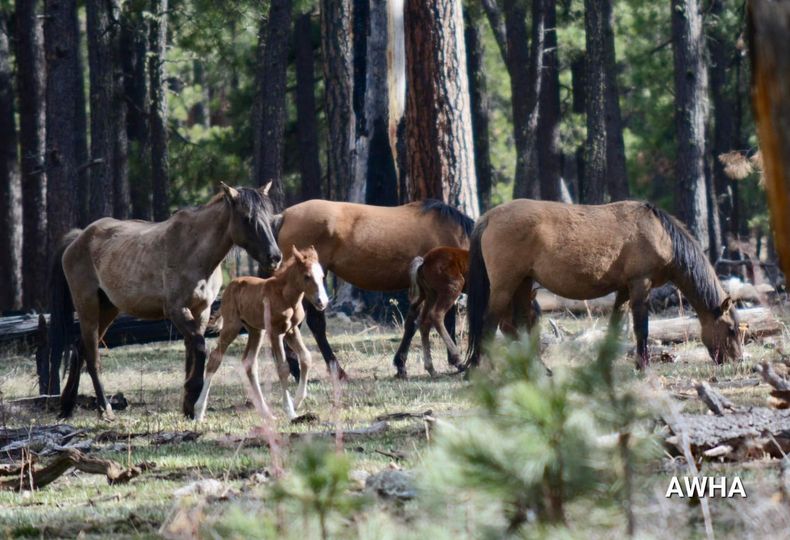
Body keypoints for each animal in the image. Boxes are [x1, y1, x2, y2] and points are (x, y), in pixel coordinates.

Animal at [49, 183, 283, 419]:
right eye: (247, 218)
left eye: (270, 216)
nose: (275, 257)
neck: (194, 251)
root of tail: (78, 238)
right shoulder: (176, 310)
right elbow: (200, 347)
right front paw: (194, 396)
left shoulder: (201, 311)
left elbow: (192, 352)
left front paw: (189, 406)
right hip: (87, 305)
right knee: (91, 356)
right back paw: (105, 408)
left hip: (107, 309)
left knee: (80, 348)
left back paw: (67, 407)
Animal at [194, 246, 329, 422]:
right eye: (307, 276)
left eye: (322, 276)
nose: (322, 302)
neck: (285, 297)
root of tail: (231, 284)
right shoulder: (275, 332)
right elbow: (283, 368)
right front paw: (290, 411)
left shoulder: (291, 331)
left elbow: (306, 357)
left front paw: (297, 401)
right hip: (232, 327)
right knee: (215, 358)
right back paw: (198, 411)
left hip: (256, 330)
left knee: (249, 362)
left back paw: (266, 412)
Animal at [274, 199, 474, 378]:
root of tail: (285, 216)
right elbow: (442, 320)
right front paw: (454, 360)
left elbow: (412, 323)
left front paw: (401, 365)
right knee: (311, 324)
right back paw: (325, 371)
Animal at [466, 200, 744, 369]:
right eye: (731, 329)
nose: (737, 360)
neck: (660, 235)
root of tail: (489, 217)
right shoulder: (640, 285)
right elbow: (641, 329)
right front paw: (643, 367)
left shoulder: (623, 289)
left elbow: (614, 327)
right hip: (504, 286)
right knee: (489, 324)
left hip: (523, 283)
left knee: (520, 324)